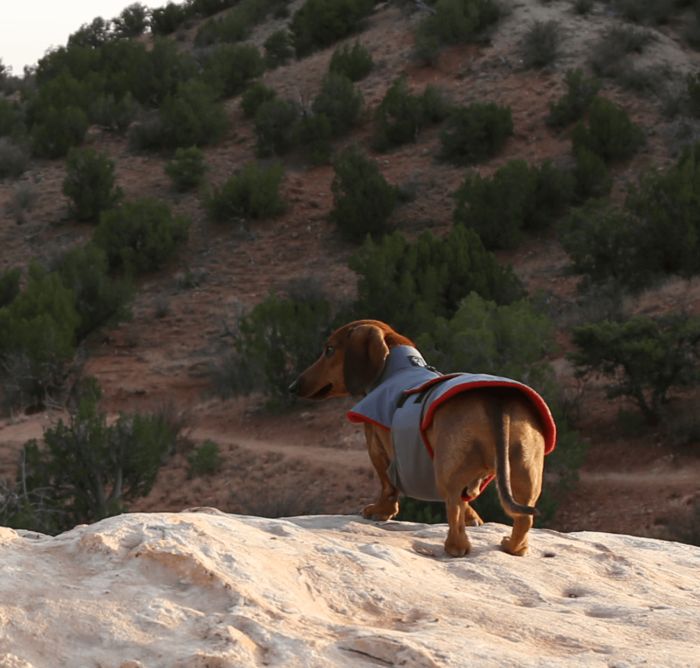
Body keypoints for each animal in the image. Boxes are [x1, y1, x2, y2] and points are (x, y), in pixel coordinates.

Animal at [288, 318, 556, 552]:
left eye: (330, 350)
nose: (293, 386)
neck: (399, 367)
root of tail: (496, 402)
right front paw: (473, 518)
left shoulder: (376, 445)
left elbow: (387, 485)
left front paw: (379, 511)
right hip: (526, 470)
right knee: (523, 517)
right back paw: (512, 547)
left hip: (447, 469)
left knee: (454, 510)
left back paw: (455, 547)